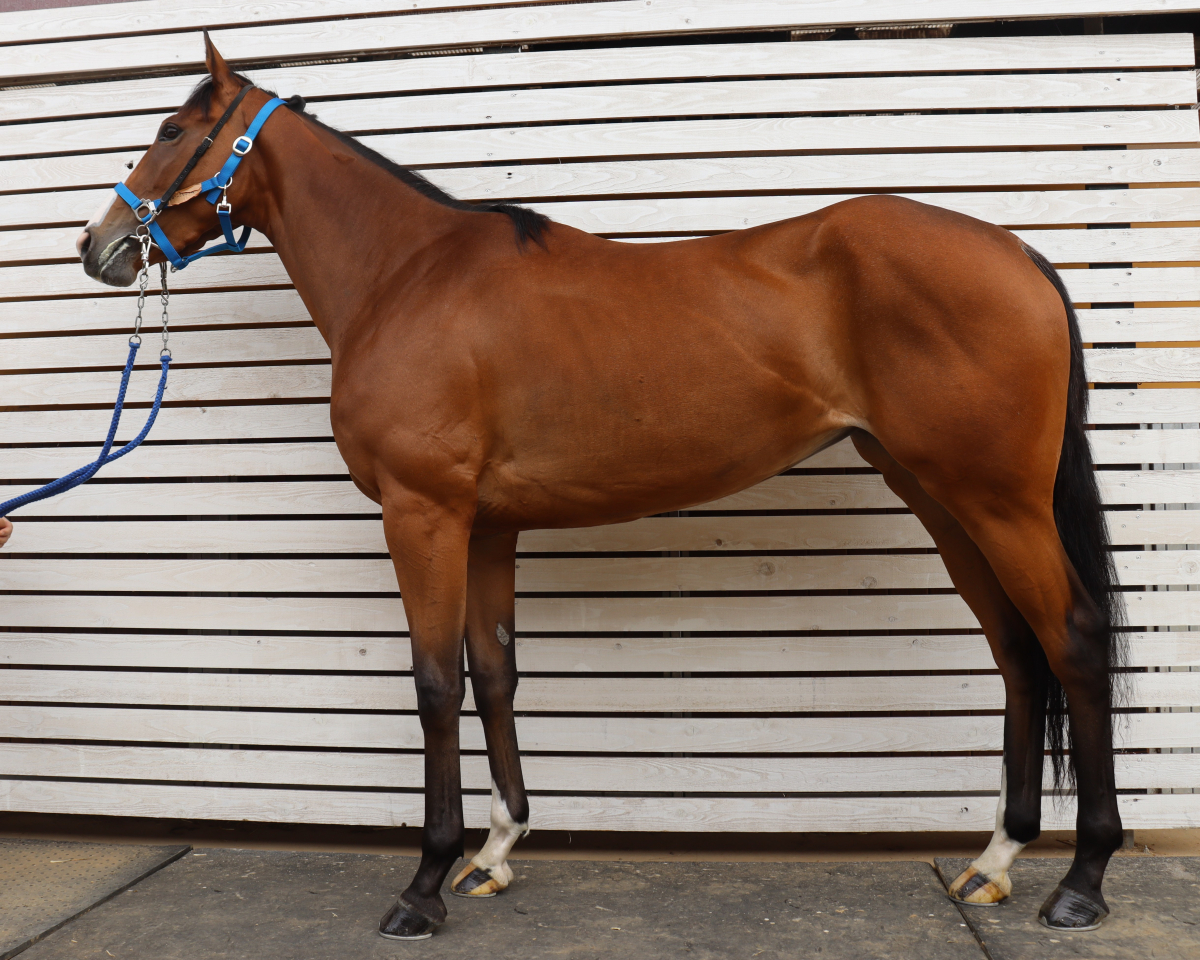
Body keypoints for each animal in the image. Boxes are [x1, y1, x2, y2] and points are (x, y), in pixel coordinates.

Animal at [76, 37, 1125, 940]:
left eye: (171, 128)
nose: (98, 245)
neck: (408, 277)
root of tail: (1016, 251)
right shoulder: (486, 526)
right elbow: (494, 672)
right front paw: (496, 852)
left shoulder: (424, 515)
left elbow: (435, 684)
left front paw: (424, 885)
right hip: (943, 498)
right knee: (1018, 653)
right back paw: (994, 861)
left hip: (998, 502)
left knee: (1071, 640)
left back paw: (1081, 882)